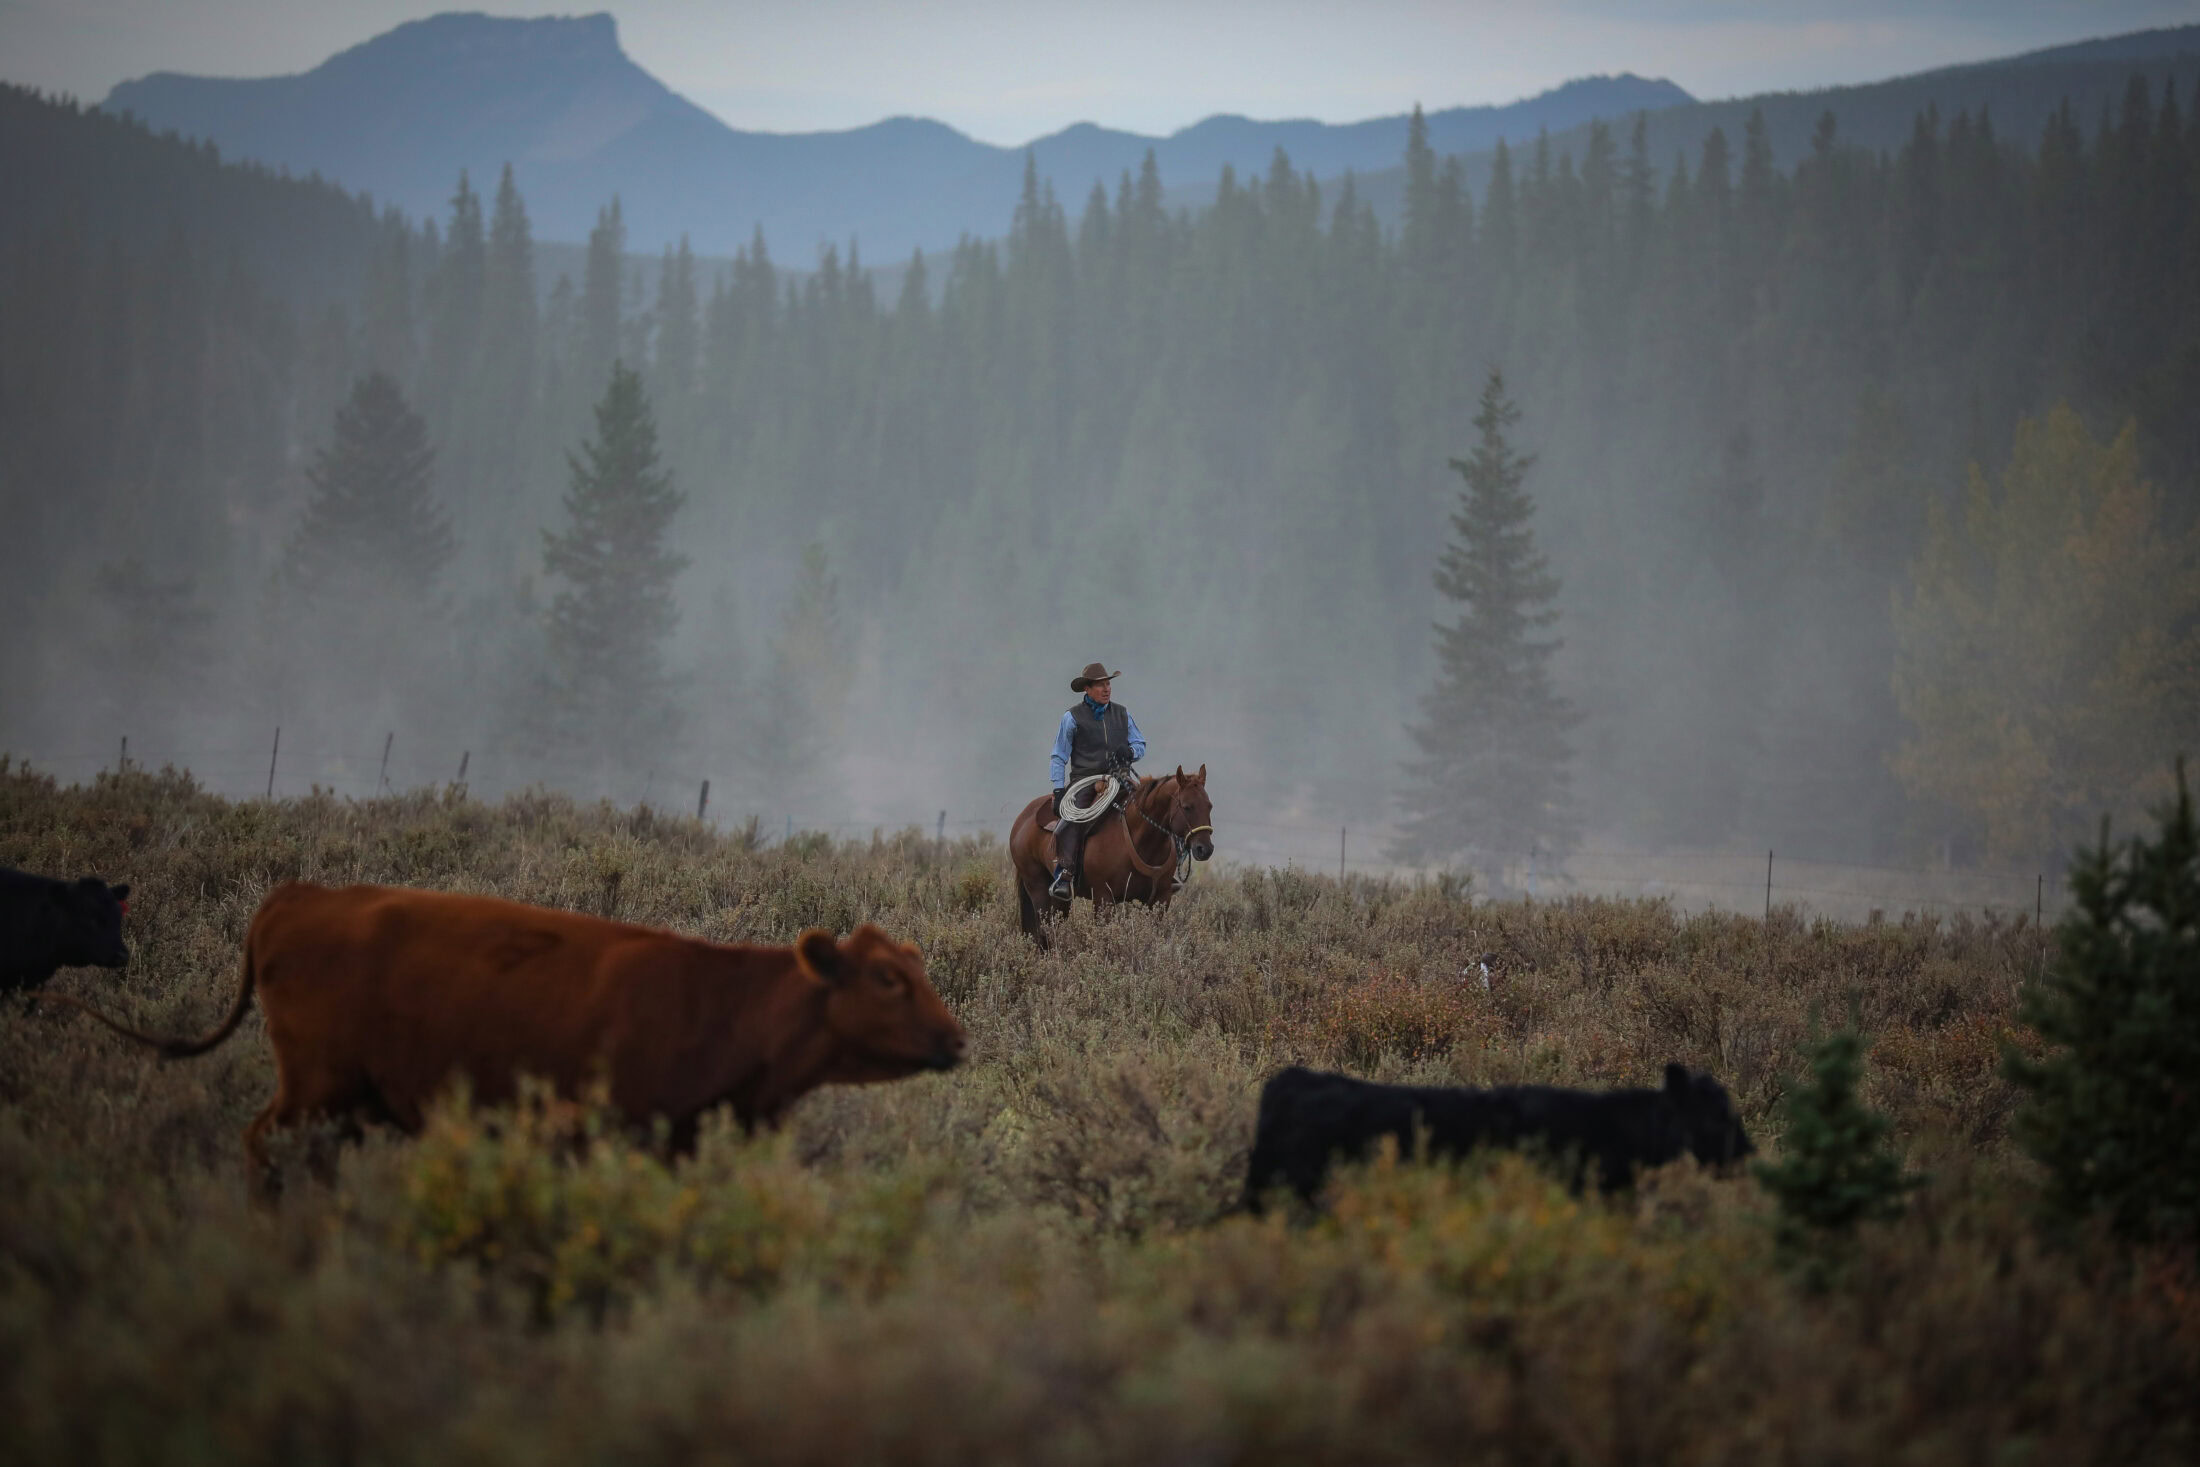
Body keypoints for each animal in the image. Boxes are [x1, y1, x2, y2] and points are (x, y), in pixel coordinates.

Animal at [42, 879, 968, 1196]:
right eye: (887, 979)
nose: (957, 1039)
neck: (716, 1001)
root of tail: (296, 895)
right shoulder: (583, 1130)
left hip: (345, 1101)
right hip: (314, 1086)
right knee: (265, 1145)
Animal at [1007, 765, 1214, 945]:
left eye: (1209, 806)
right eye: (1187, 807)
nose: (1205, 849)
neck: (1143, 843)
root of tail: (1023, 817)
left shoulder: (1160, 900)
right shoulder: (1103, 899)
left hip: (1060, 899)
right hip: (1037, 887)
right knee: (1043, 932)